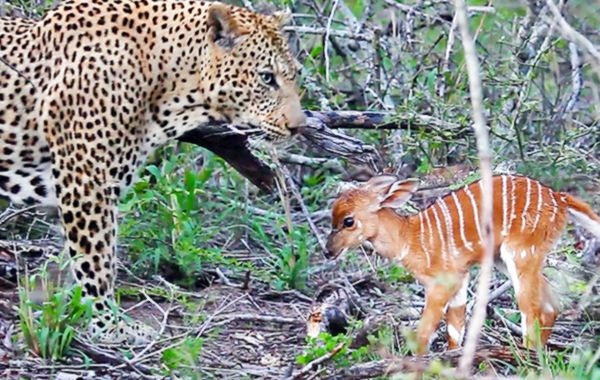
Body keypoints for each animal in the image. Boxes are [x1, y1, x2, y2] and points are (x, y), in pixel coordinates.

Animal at [0, 0, 308, 342]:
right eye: (266, 78)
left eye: (294, 75)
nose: (299, 127)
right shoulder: (87, 181)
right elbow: (97, 259)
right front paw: (109, 325)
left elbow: (73, 261)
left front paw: (66, 312)